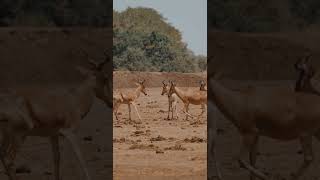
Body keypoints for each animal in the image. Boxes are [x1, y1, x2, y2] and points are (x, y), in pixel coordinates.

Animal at [0, 51, 111, 180]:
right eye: (105, 78)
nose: (110, 103)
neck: (74, 100)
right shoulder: (70, 133)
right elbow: (80, 158)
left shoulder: (53, 135)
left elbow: (57, 158)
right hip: (19, 135)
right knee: (8, 160)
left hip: (8, 135)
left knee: (2, 156)